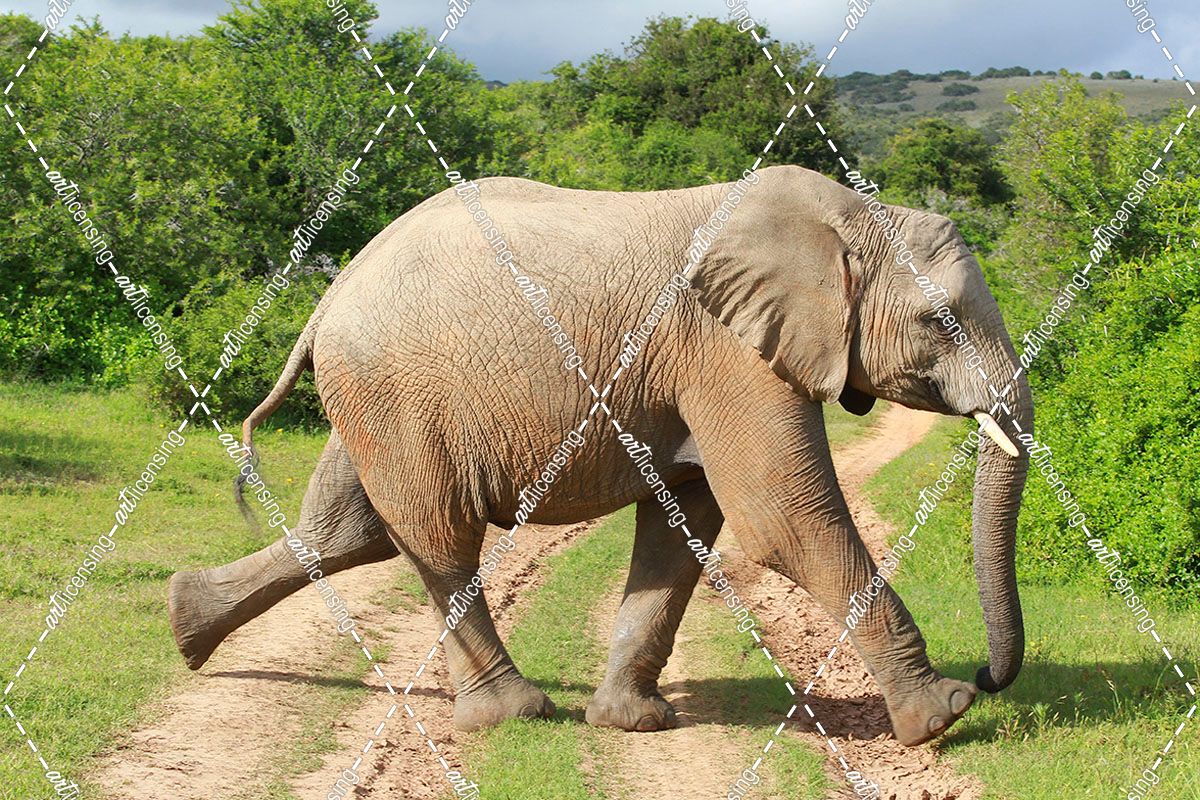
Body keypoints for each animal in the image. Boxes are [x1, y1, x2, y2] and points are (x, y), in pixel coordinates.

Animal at [167, 164, 1031, 747]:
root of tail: (325, 298)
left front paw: (632, 724)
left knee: (349, 534)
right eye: (940, 321)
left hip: (370, 399)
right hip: (396, 393)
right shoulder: (725, 349)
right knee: (438, 538)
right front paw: (942, 716)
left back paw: (184, 625)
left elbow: (683, 526)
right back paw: (512, 713)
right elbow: (782, 517)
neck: (847, 217)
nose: (991, 677)